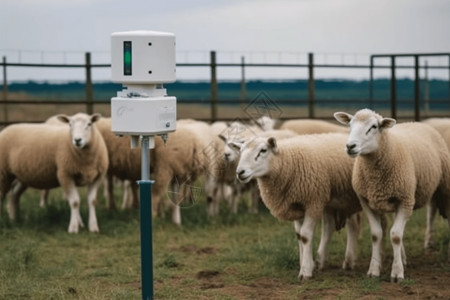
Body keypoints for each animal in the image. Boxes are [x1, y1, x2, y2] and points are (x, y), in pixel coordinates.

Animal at [234, 133, 360, 278]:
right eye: (240, 151)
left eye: (263, 150)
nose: (240, 172)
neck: (287, 161)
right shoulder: (297, 206)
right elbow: (299, 235)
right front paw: (305, 263)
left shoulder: (313, 203)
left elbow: (305, 236)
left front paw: (305, 271)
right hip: (337, 199)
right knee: (332, 226)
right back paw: (324, 261)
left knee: (352, 225)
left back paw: (348, 261)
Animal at [334, 109, 450, 282]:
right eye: (350, 124)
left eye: (373, 127)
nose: (350, 146)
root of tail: (416, 122)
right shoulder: (367, 203)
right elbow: (377, 235)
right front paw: (374, 270)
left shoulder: (405, 200)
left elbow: (395, 236)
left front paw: (397, 273)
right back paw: (403, 257)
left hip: (444, 187)